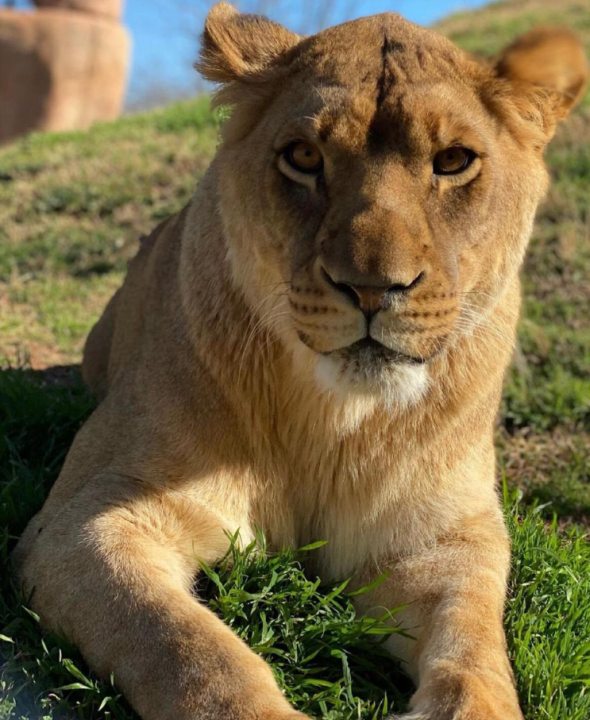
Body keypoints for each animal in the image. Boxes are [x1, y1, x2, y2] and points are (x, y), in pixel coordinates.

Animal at [11, 5, 588, 720]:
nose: (371, 288)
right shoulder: (86, 519)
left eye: (453, 161)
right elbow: (192, 651)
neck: (332, 423)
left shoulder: (448, 540)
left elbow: (475, 661)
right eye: (304, 157)